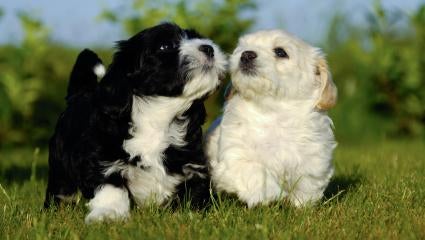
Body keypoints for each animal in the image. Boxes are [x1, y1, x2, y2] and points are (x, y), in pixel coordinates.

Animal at [44, 23, 227, 222]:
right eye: (165, 46)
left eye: (196, 37)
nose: (208, 48)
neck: (157, 117)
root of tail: (79, 94)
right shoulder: (103, 159)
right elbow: (111, 187)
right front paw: (108, 214)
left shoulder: (192, 162)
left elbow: (195, 191)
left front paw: (192, 214)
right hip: (60, 166)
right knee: (61, 189)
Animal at [206, 29, 338, 207]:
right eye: (242, 47)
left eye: (280, 52)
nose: (246, 54)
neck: (272, 112)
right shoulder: (233, 158)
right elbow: (256, 171)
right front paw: (273, 195)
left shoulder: (314, 160)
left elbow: (307, 186)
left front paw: (299, 205)